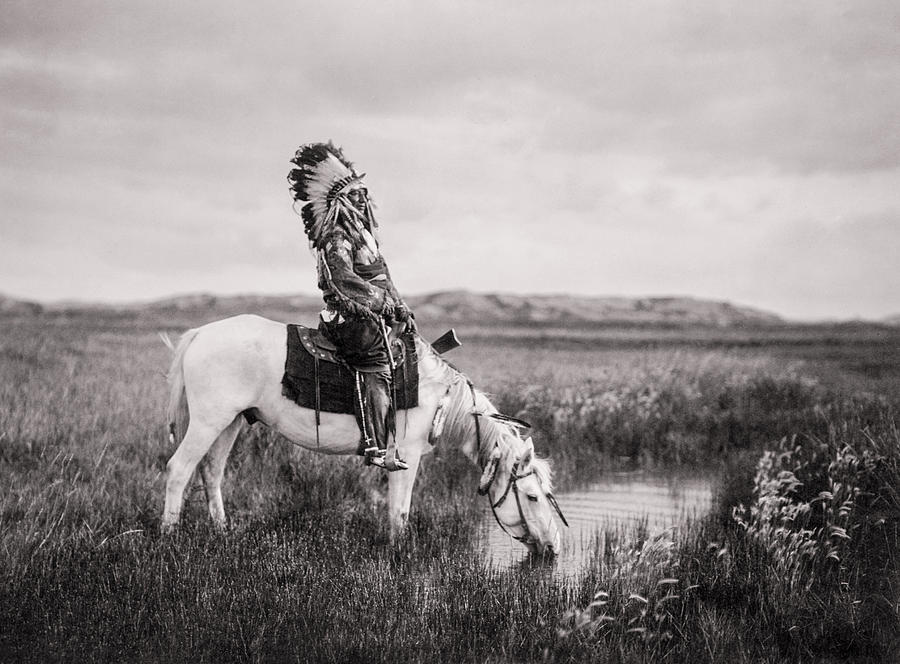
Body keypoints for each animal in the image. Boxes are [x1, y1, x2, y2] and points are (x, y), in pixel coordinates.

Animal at [162, 314, 564, 552]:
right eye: (531, 496)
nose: (554, 547)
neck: (440, 395)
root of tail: (200, 334)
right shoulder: (405, 455)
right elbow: (400, 511)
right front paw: (399, 553)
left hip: (229, 422)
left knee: (211, 472)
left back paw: (222, 532)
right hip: (208, 421)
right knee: (179, 470)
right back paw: (169, 536)